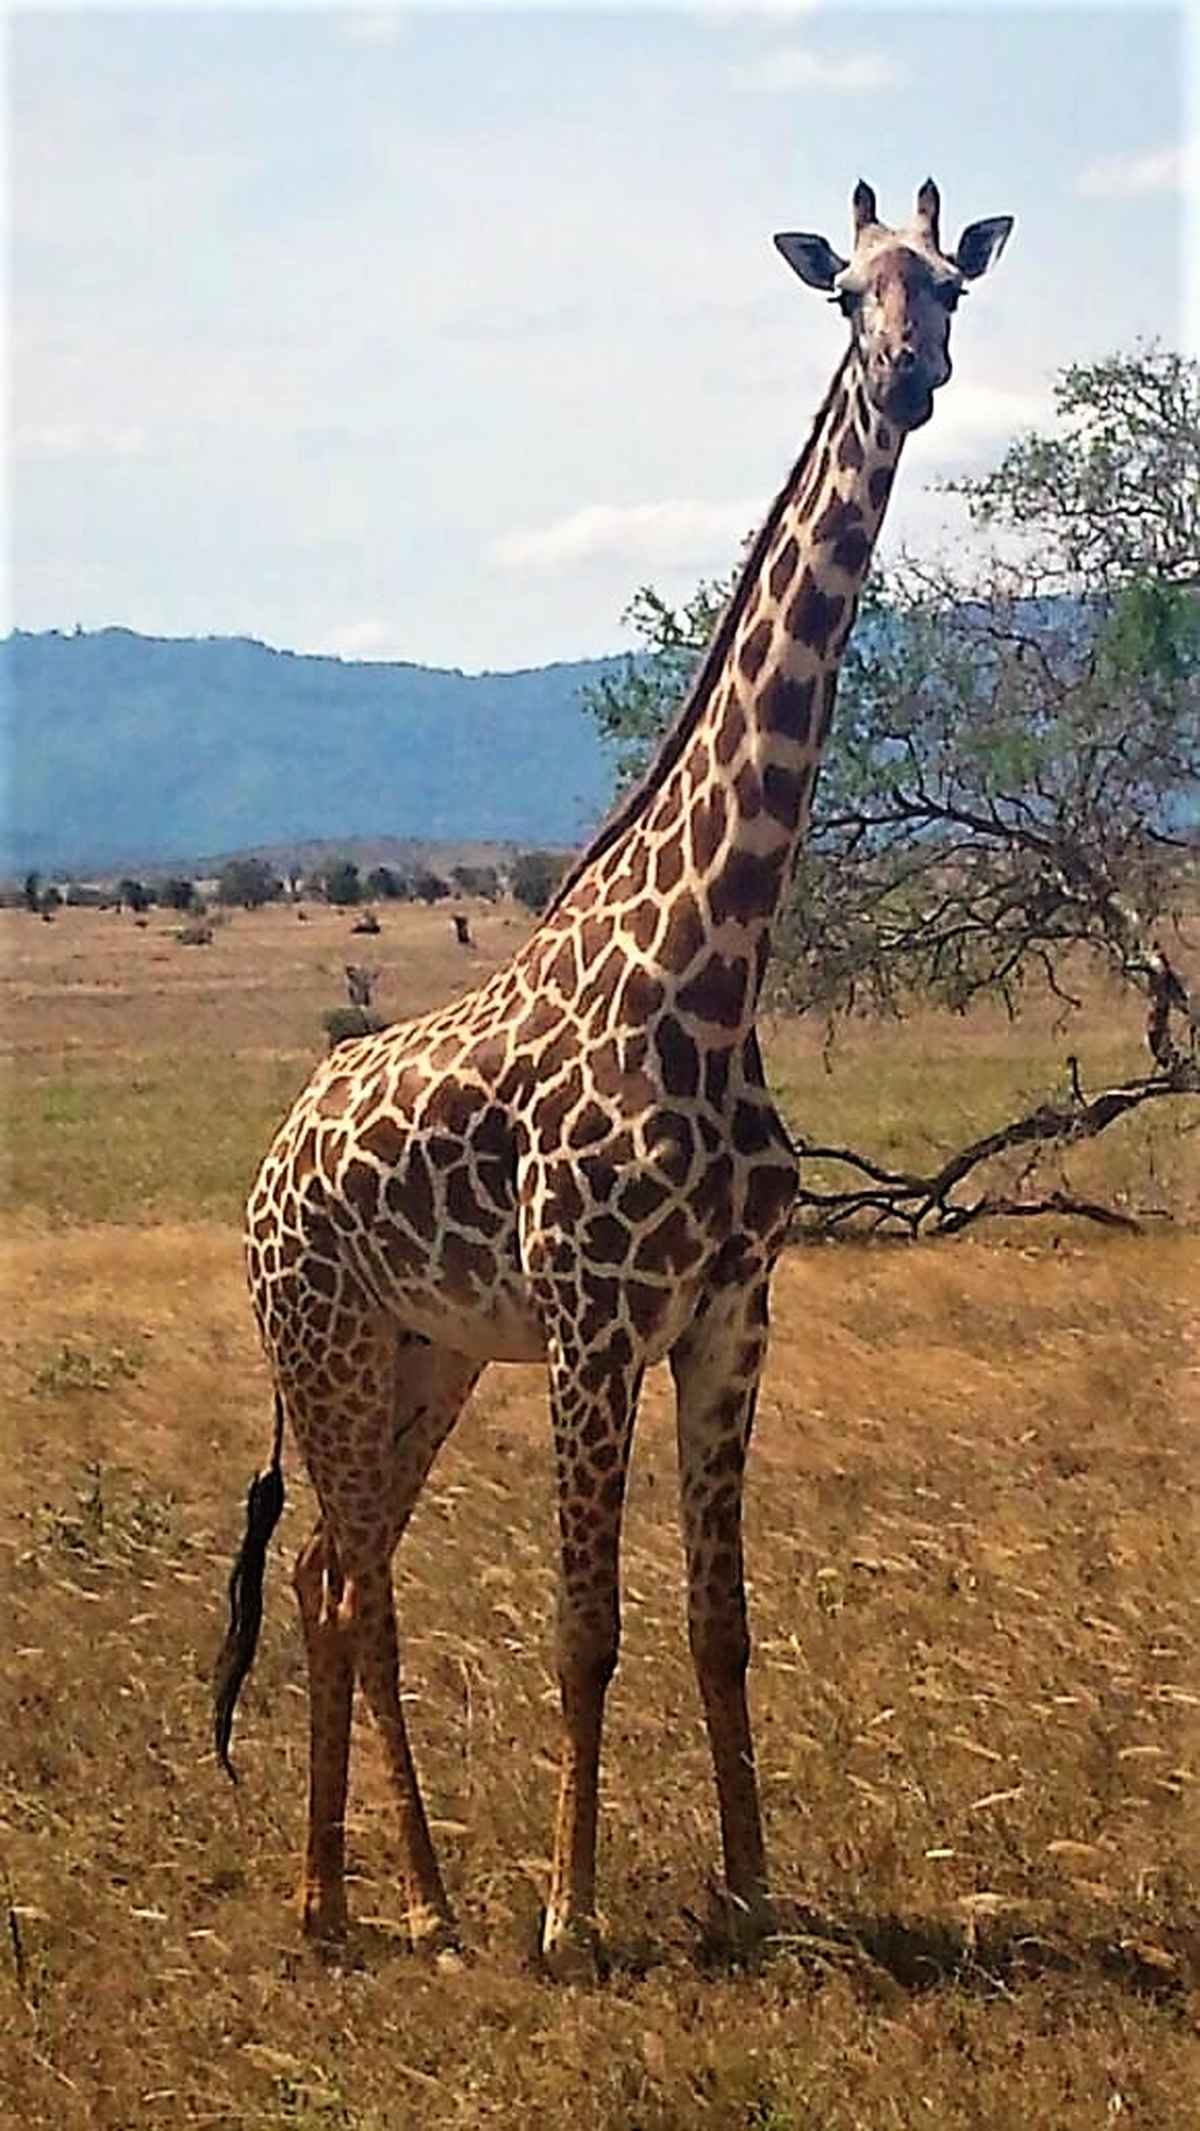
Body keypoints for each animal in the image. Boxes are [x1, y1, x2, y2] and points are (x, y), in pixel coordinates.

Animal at [214, 179, 1013, 1970]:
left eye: (948, 285)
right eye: (844, 293)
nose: (913, 373)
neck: (715, 978)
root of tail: (272, 1167)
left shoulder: (732, 1315)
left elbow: (722, 1622)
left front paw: (752, 1894)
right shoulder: (593, 1325)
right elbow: (587, 1624)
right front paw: (573, 1918)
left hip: (428, 1353)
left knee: (341, 1582)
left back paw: (416, 1901)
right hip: (329, 1345)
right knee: (339, 1578)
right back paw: (335, 1901)